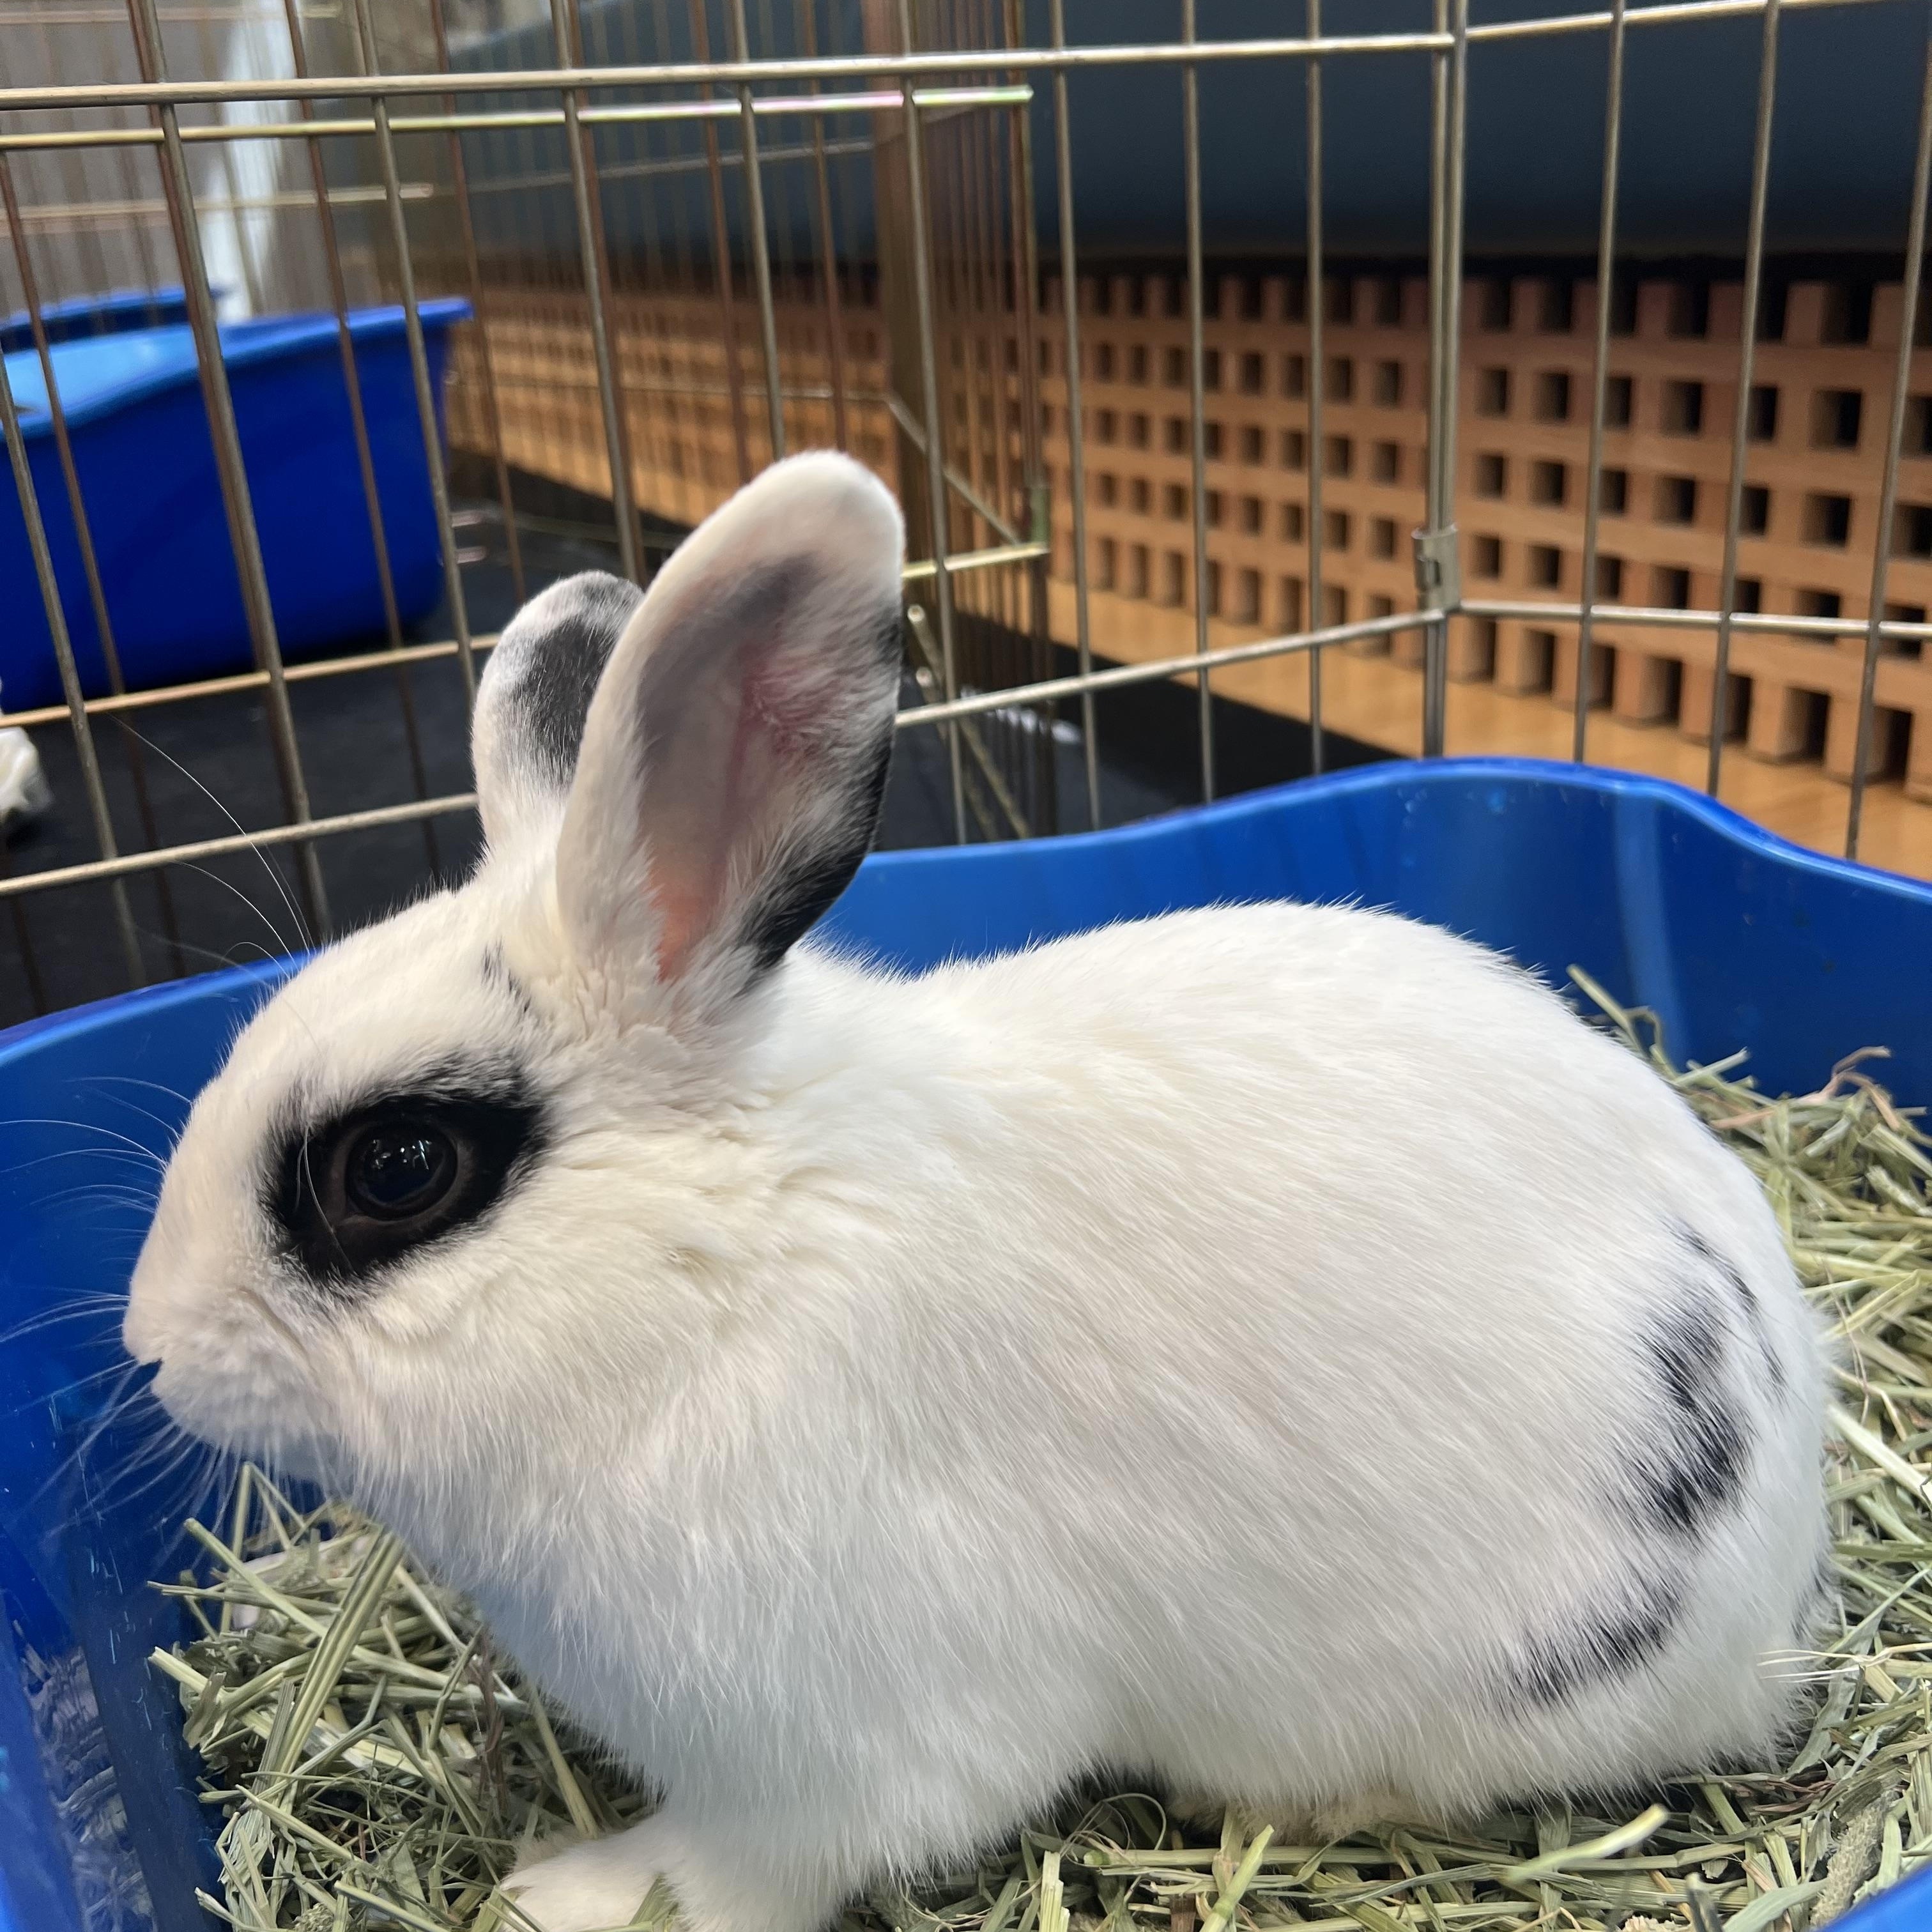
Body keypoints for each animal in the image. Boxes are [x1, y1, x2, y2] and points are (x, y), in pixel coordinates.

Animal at [125, 450, 1833, 1932]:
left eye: (397, 1168)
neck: (724, 1268)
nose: (149, 1348)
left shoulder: (825, 1751)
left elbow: (740, 1867)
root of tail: (1786, 1588)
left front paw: (565, 1895)